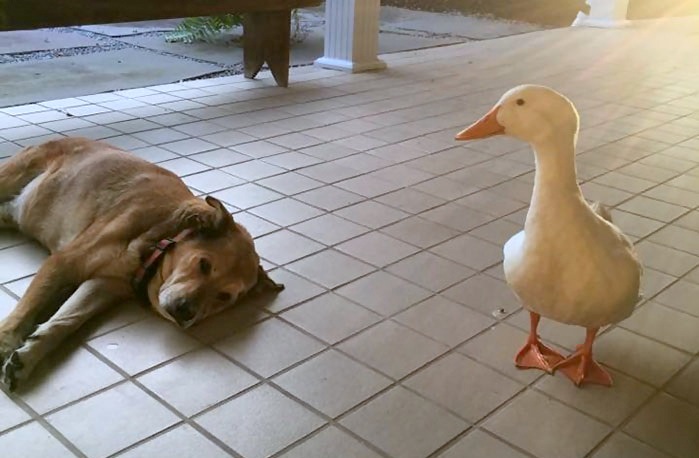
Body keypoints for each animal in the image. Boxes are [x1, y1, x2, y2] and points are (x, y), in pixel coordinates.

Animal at [0, 136, 282, 390]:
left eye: (224, 297)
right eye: (203, 264)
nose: (186, 312)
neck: (158, 240)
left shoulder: (104, 285)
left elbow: (66, 321)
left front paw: (28, 356)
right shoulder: (62, 264)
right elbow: (24, 312)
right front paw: (5, 344)